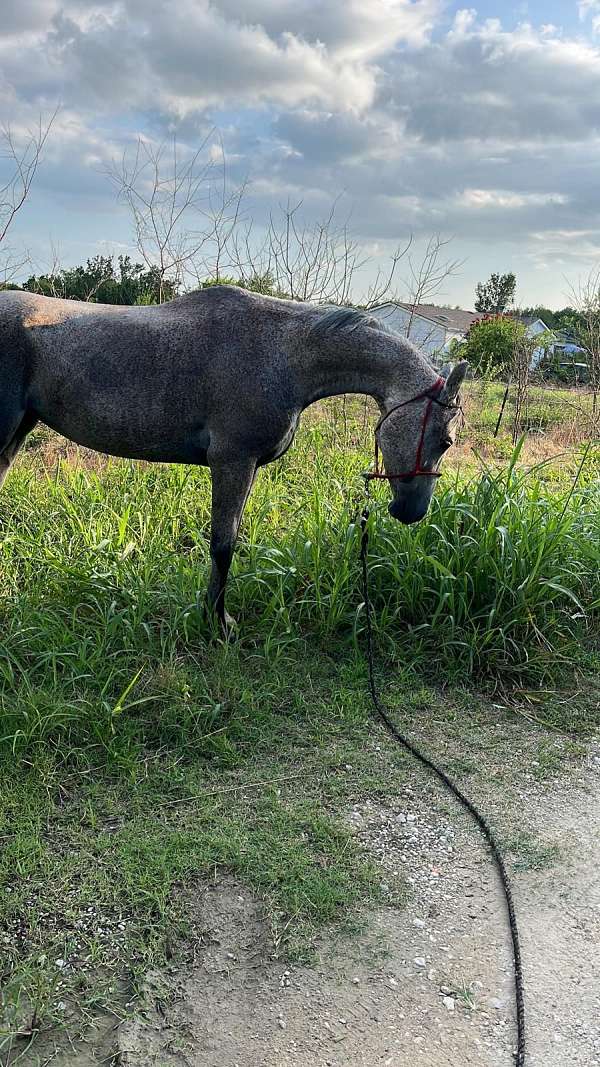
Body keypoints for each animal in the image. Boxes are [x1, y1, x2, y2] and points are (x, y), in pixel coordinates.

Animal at [0, 284, 467, 629]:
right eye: (445, 440)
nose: (411, 511)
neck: (285, 355)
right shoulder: (232, 462)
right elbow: (223, 545)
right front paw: (218, 622)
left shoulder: (245, 468)